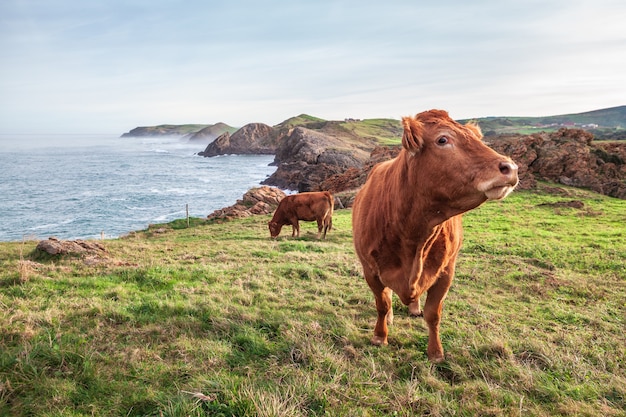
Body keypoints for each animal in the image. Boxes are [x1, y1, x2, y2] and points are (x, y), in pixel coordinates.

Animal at [352, 109, 516, 360]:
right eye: (442, 140)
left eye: (477, 138)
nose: (510, 168)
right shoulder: (370, 270)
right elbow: (382, 304)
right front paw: (380, 336)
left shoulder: (446, 272)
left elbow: (434, 314)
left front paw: (436, 352)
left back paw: (414, 308)